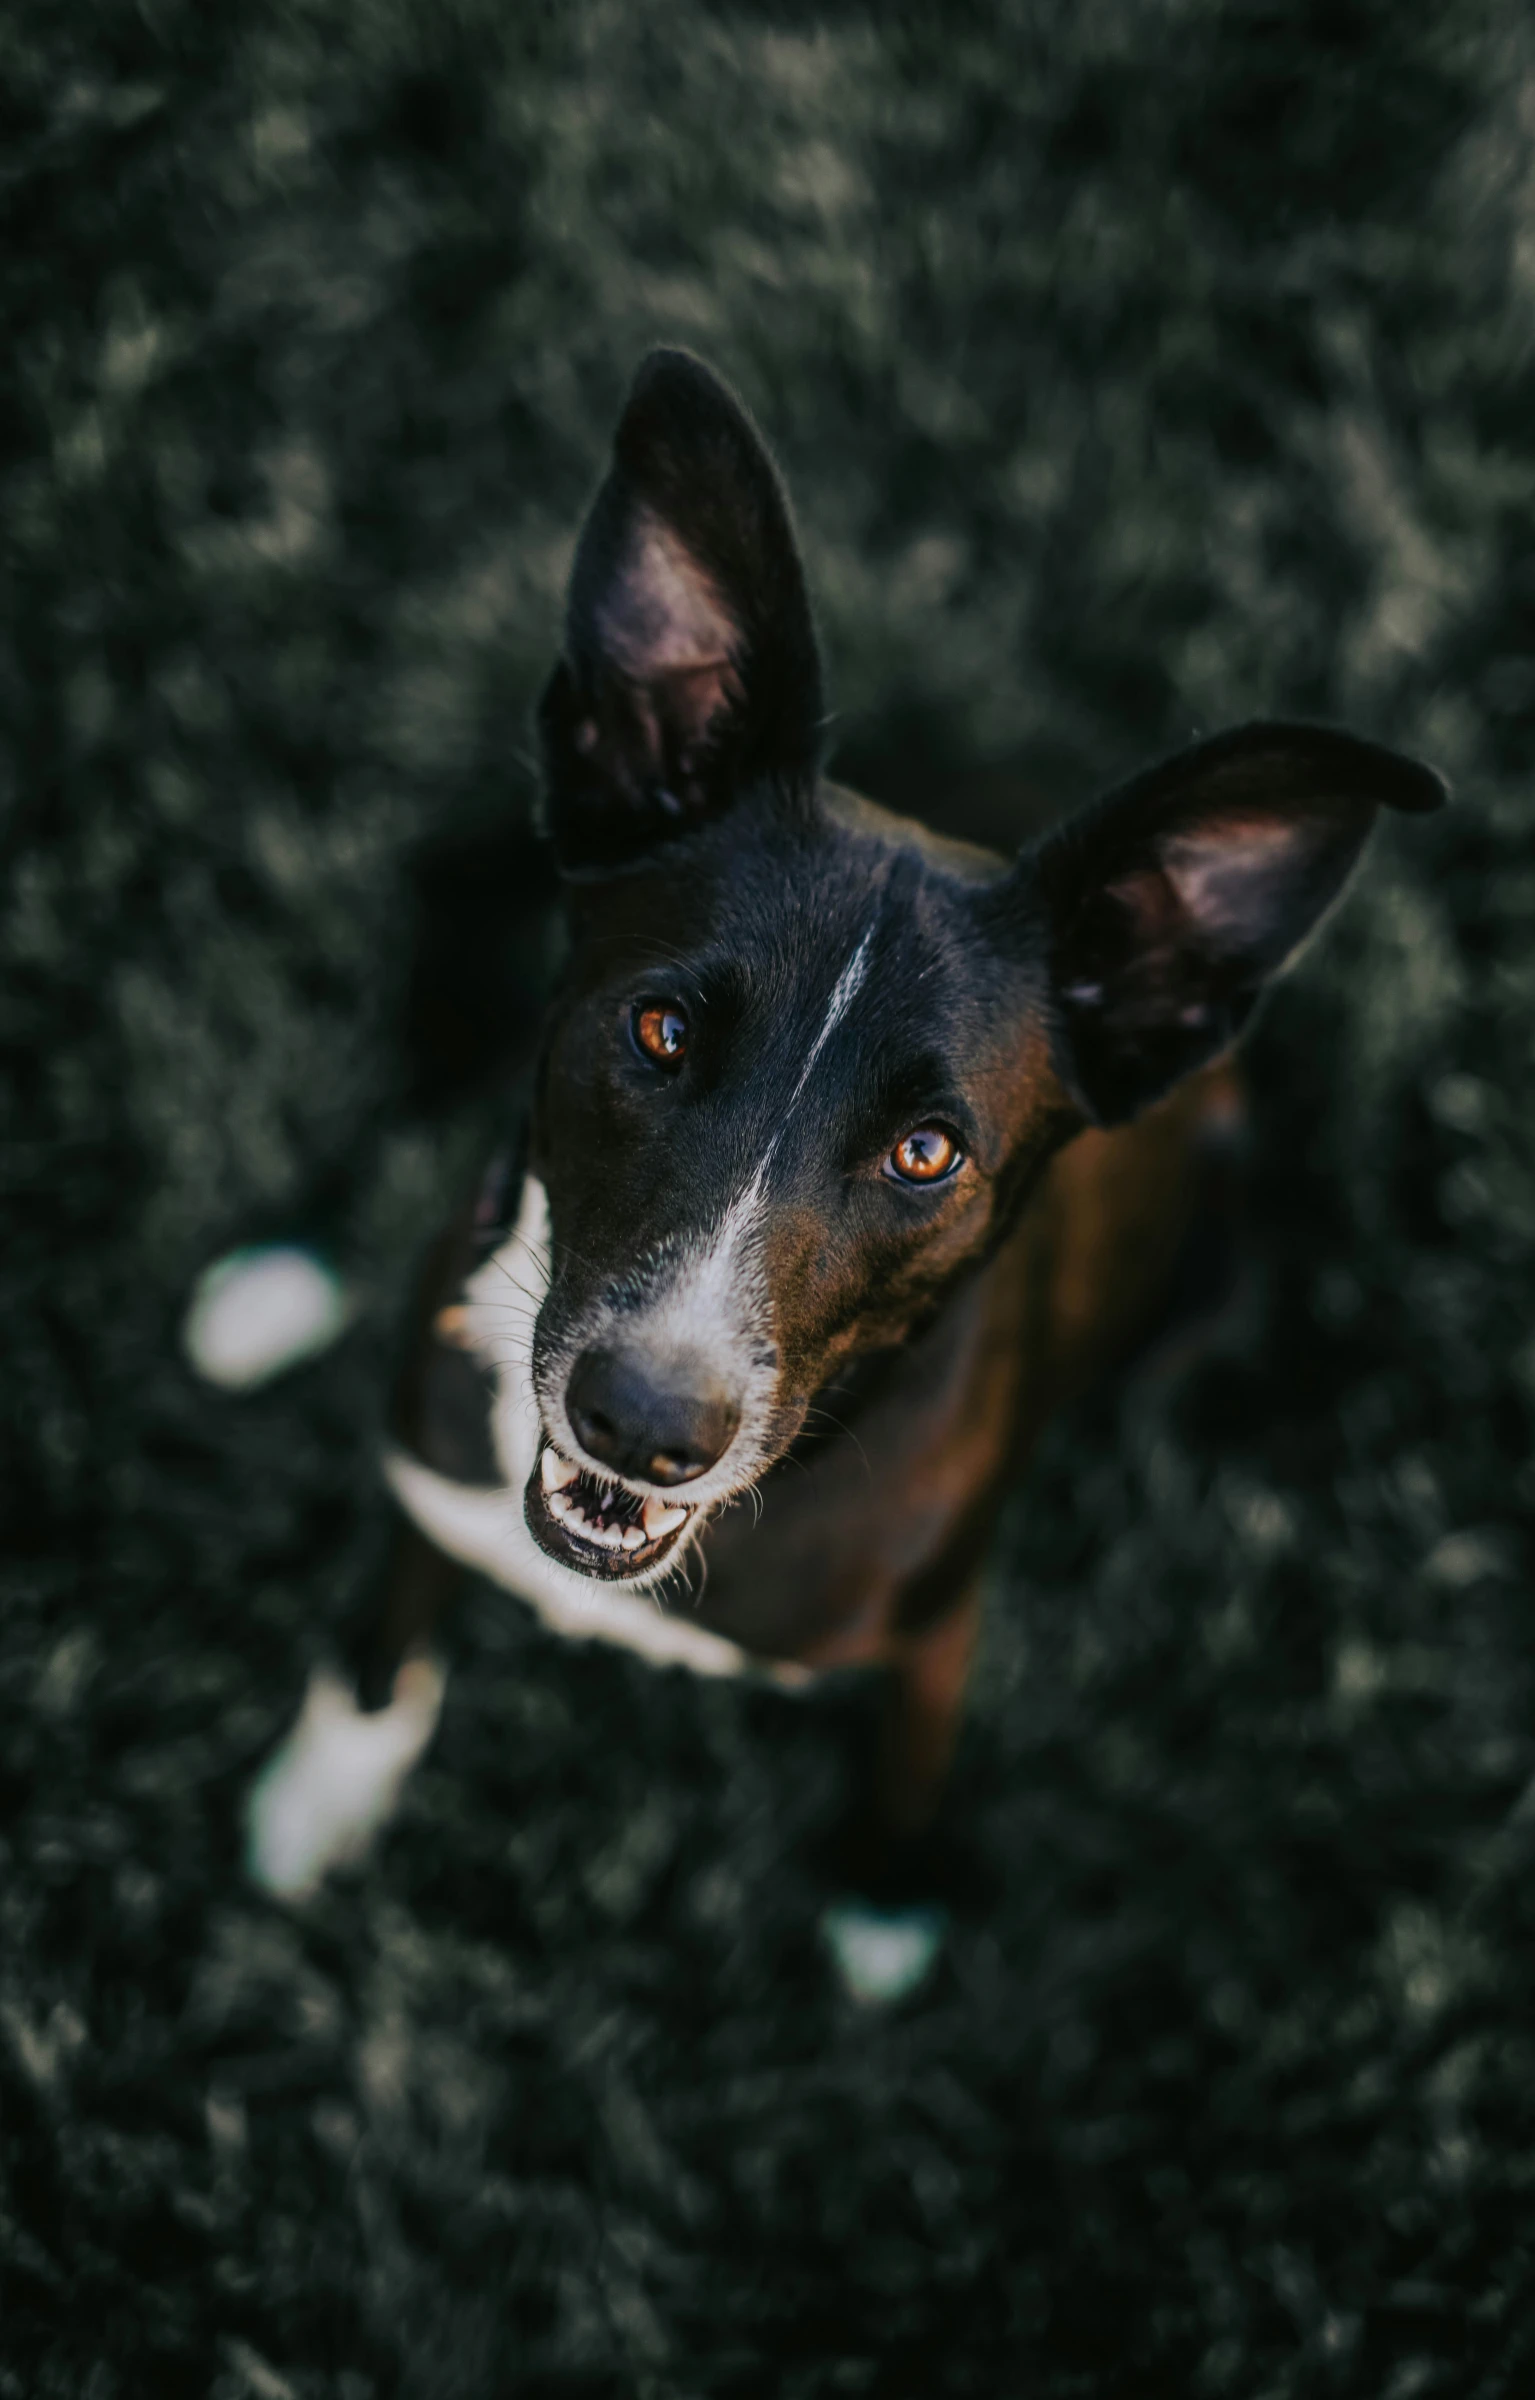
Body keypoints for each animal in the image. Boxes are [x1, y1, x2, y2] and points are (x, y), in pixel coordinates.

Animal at [245, 350, 1448, 1929]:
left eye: (927, 1154)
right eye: (659, 1030)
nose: (642, 1425)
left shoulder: (936, 1615)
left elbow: (910, 1755)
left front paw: (885, 1909)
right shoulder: (433, 1465)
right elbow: (390, 1625)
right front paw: (321, 1797)